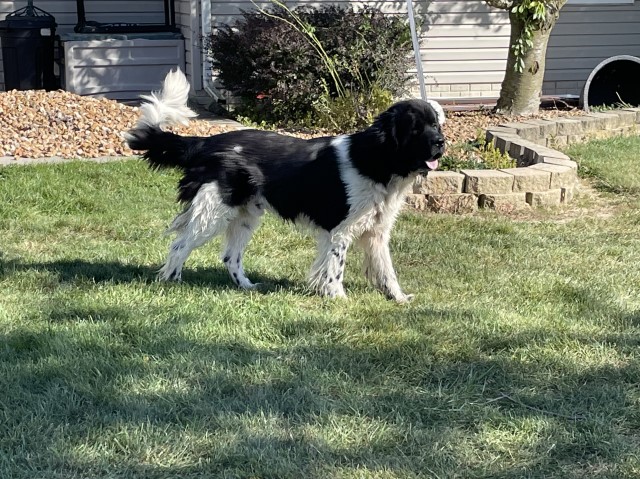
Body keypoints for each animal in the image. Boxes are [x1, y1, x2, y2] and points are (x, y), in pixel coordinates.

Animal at [125, 69, 444, 302]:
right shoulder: (340, 231)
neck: (376, 159)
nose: (441, 143)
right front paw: (339, 299)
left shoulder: (376, 232)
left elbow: (386, 271)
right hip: (213, 212)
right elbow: (335, 270)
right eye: (416, 128)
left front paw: (398, 298)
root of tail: (205, 142)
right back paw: (171, 281)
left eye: (436, 125)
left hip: (244, 216)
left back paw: (247, 286)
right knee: (180, 245)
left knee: (230, 257)